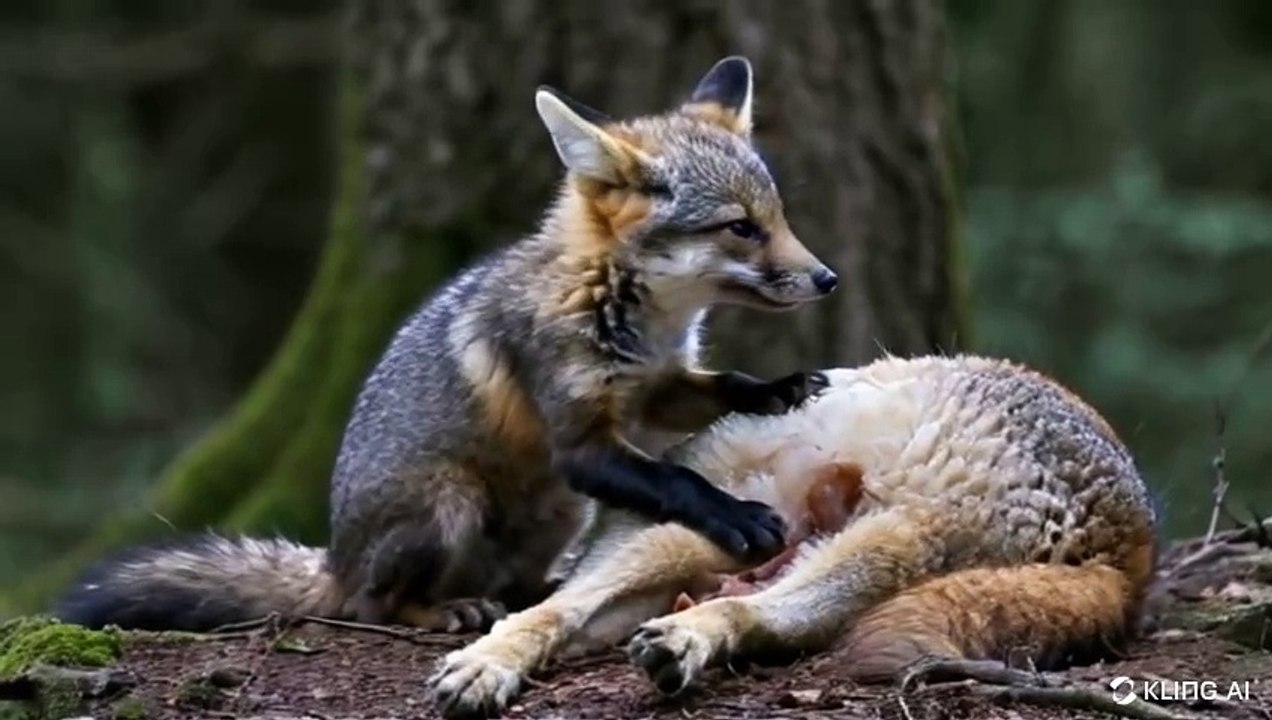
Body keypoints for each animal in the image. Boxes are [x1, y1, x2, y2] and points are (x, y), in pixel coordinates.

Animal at [53, 56, 839, 633]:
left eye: (778, 216)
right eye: (740, 228)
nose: (828, 278)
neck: (638, 318)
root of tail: (336, 557)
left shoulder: (658, 387)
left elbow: (728, 384)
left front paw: (782, 387)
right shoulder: (580, 440)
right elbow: (677, 480)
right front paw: (734, 514)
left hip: (559, 513)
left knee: (520, 585)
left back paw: (531, 593)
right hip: (450, 503)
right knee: (376, 606)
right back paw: (444, 610)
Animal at [428, 354, 1160, 720]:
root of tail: (1131, 556)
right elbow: (556, 609)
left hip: (880, 544)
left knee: (748, 615)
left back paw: (681, 643)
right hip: (758, 544)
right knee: (571, 611)